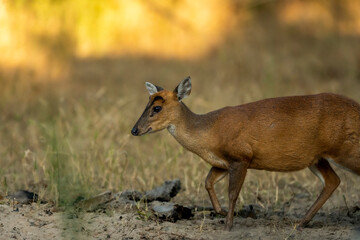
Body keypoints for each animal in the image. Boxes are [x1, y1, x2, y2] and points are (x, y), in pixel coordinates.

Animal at [131, 77, 360, 231]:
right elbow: (208, 182)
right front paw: (222, 212)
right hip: (317, 158)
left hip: (346, 149)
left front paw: (228, 225)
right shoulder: (223, 162)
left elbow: (233, 192)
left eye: (157, 108)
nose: (134, 130)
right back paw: (301, 222)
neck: (209, 132)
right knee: (332, 181)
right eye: (146, 104)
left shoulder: (242, 156)